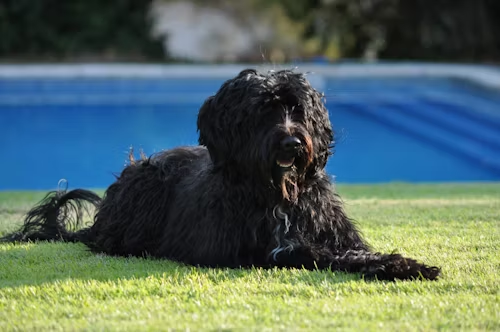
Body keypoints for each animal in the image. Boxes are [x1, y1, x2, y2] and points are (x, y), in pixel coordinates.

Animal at [3, 69, 442, 280]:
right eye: (262, 110)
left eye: (297, 109)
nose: (292, 144)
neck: (277, 193)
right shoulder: (260, 249)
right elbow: (316, 253)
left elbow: (355, 250)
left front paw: (404, 264)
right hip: (146, 186)